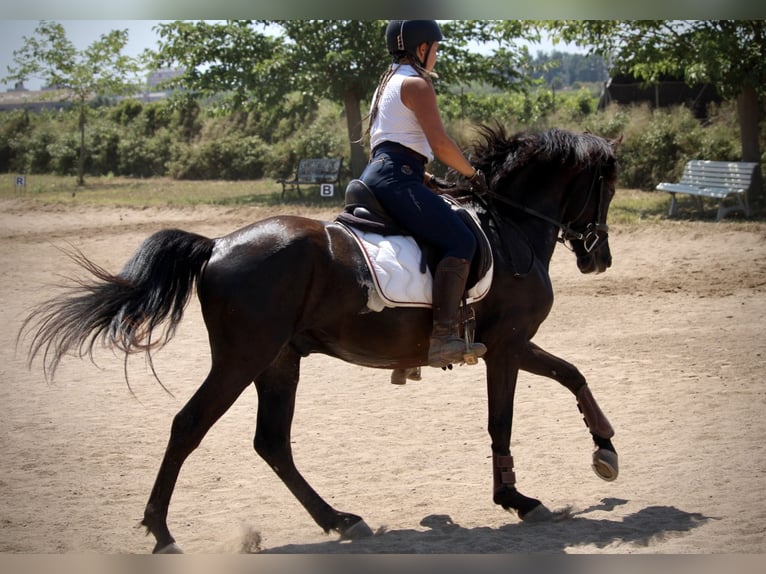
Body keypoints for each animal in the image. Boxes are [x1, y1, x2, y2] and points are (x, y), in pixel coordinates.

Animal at [20, 125, 620, 553]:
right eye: (607, 188)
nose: (600, 259)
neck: (510, 225)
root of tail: (217, 245)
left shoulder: (512, 345)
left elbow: (572, 374)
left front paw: (604, 449)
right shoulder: (508, 345)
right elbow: (507, 418)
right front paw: (520, 497)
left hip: (279, 361)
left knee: (272, 442)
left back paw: (339, 519)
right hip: (243, 359)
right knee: (190, 425)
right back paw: (161, 531)